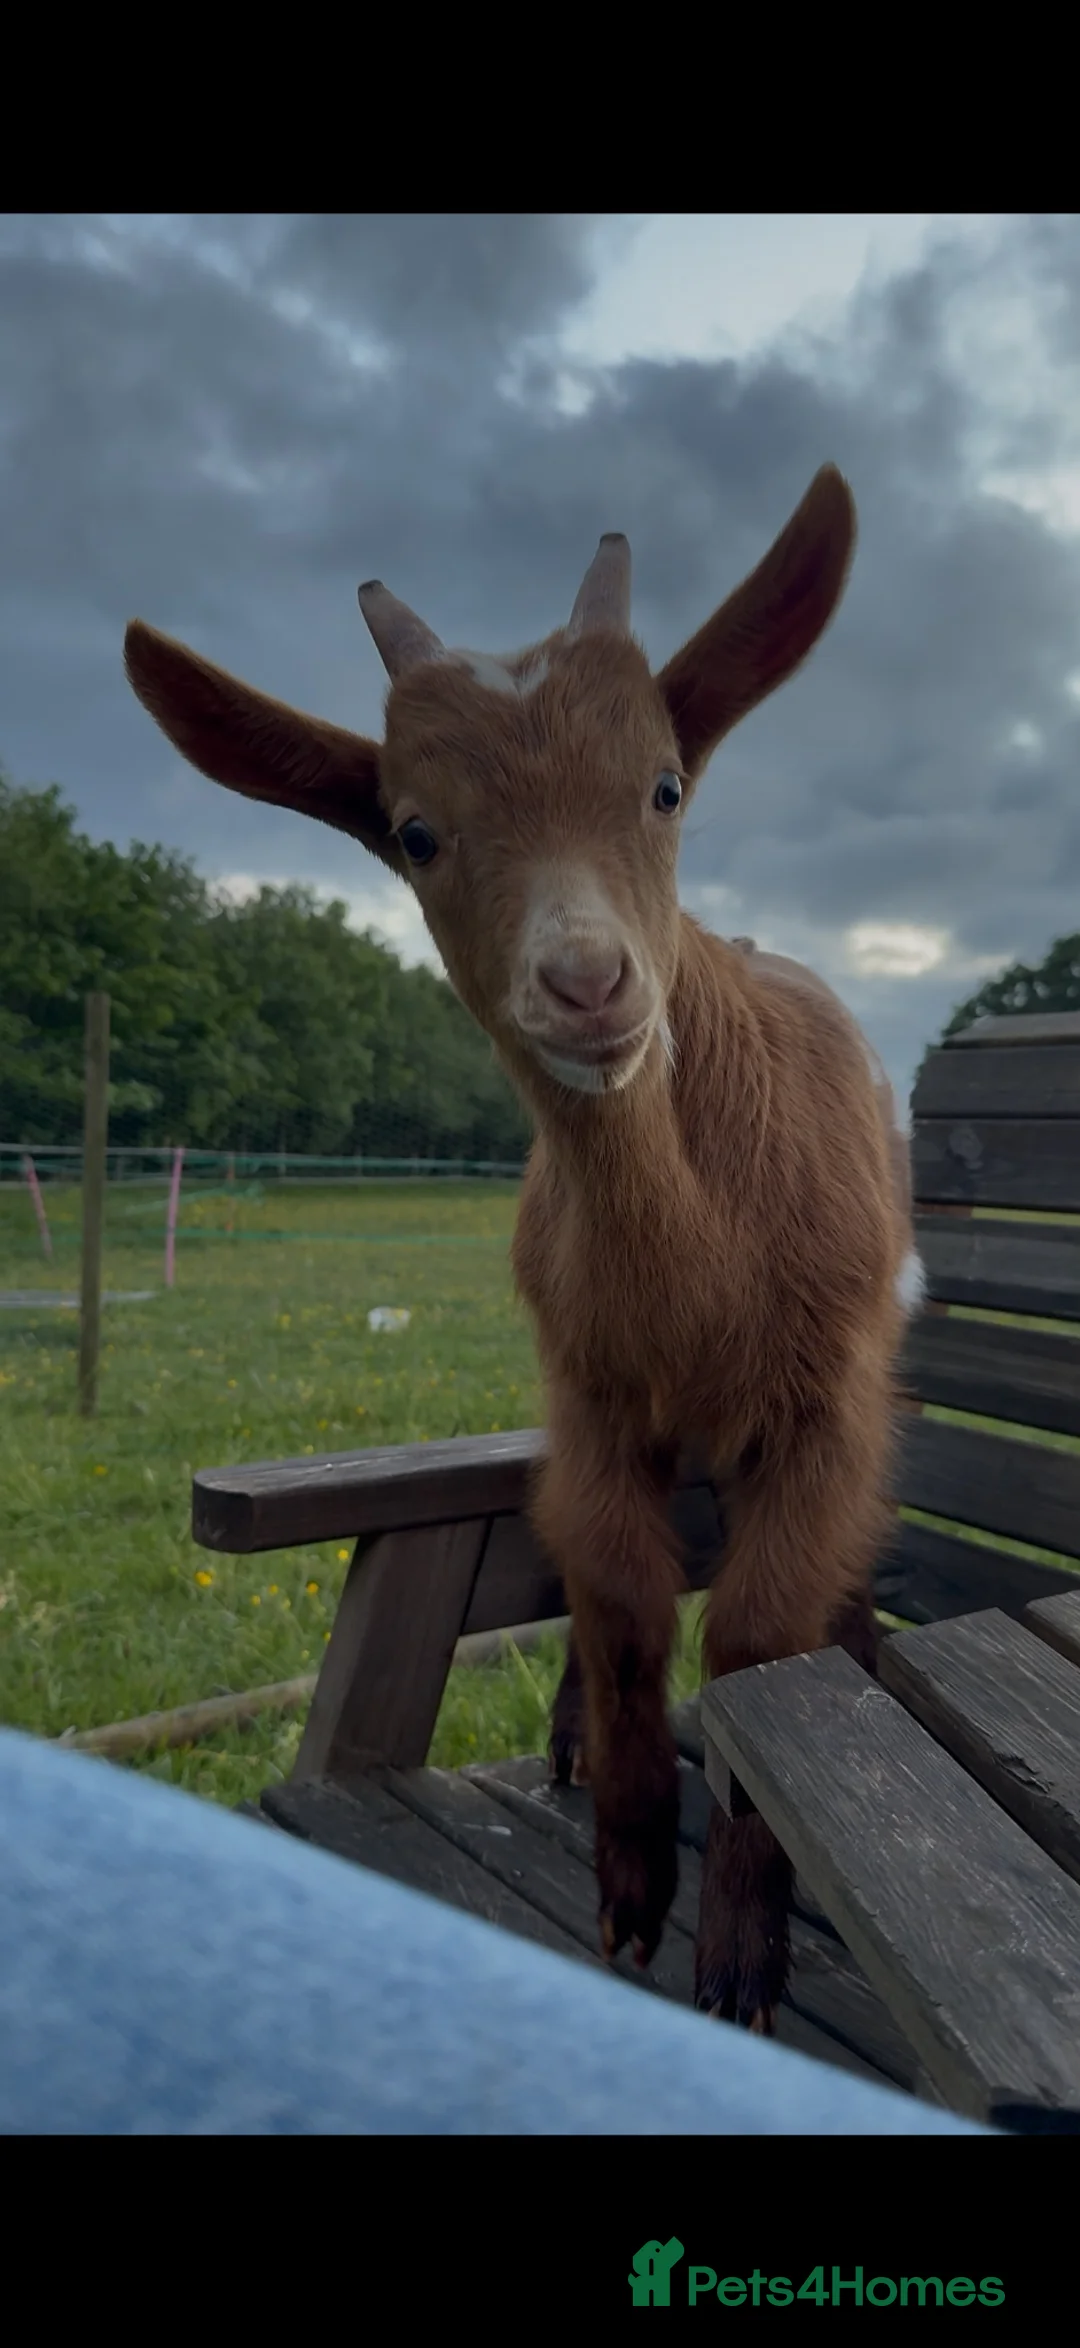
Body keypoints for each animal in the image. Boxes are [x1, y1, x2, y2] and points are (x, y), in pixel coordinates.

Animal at [124, 465, 920, 2031]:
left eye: (664, 784)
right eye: (416, 831)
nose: (588, 982)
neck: (698, 1262)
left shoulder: (827, 1400)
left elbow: (755, 1635)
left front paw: (744, 1947)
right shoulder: (589, 1392)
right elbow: (613, 1599)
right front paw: (628, 1882)